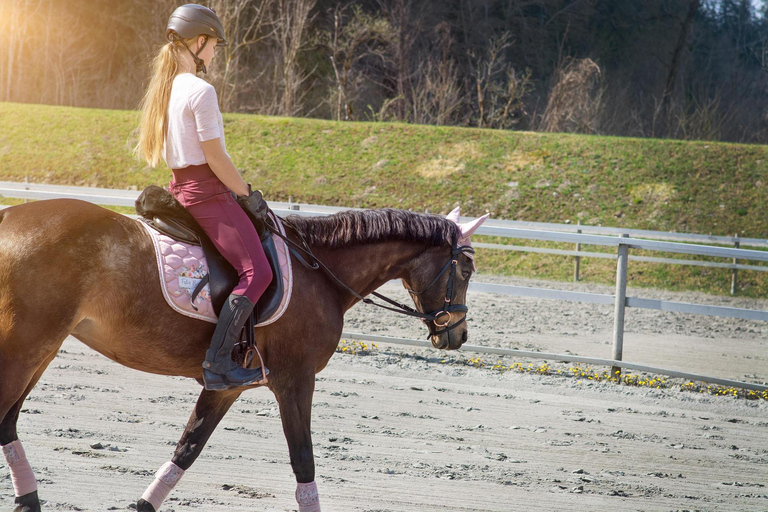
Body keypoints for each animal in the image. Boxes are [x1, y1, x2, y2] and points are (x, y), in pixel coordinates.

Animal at [0, 198, 488, 512]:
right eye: (465, 268)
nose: (458, 334)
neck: (321, 275)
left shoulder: (227, 386)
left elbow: (188, 448)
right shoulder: (295, 378)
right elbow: (303, 459)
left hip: (41, 349)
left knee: (7, 423)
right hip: (25, 347)